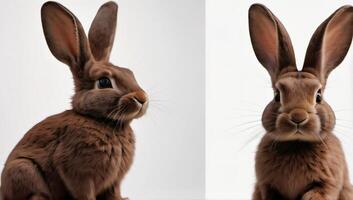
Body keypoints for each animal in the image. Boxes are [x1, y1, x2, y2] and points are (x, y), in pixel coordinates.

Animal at [0, 1, 148, 200]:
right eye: (104, 82)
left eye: (130, 73)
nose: (143, 99)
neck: (102, 121)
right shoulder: (78, 173)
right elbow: (83, 191)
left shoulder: (114, 181)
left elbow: (114, 192)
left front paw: (122, 199)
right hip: (23, 169)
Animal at [248, 3, 352, 200]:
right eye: (277, 95)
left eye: (318, 96)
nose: (298, 116)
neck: (296, 143)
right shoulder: (266, 186)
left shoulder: (328, 184)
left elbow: (319, 192)